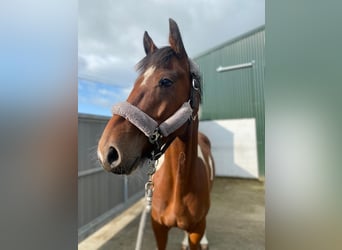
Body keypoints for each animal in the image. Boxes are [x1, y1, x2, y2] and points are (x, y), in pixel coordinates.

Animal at [97, 18, 214, 249]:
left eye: (166, 81)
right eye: (135, 83)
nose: (108, 152)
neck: (180, 186)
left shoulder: (196, 229)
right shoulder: (158, 229)